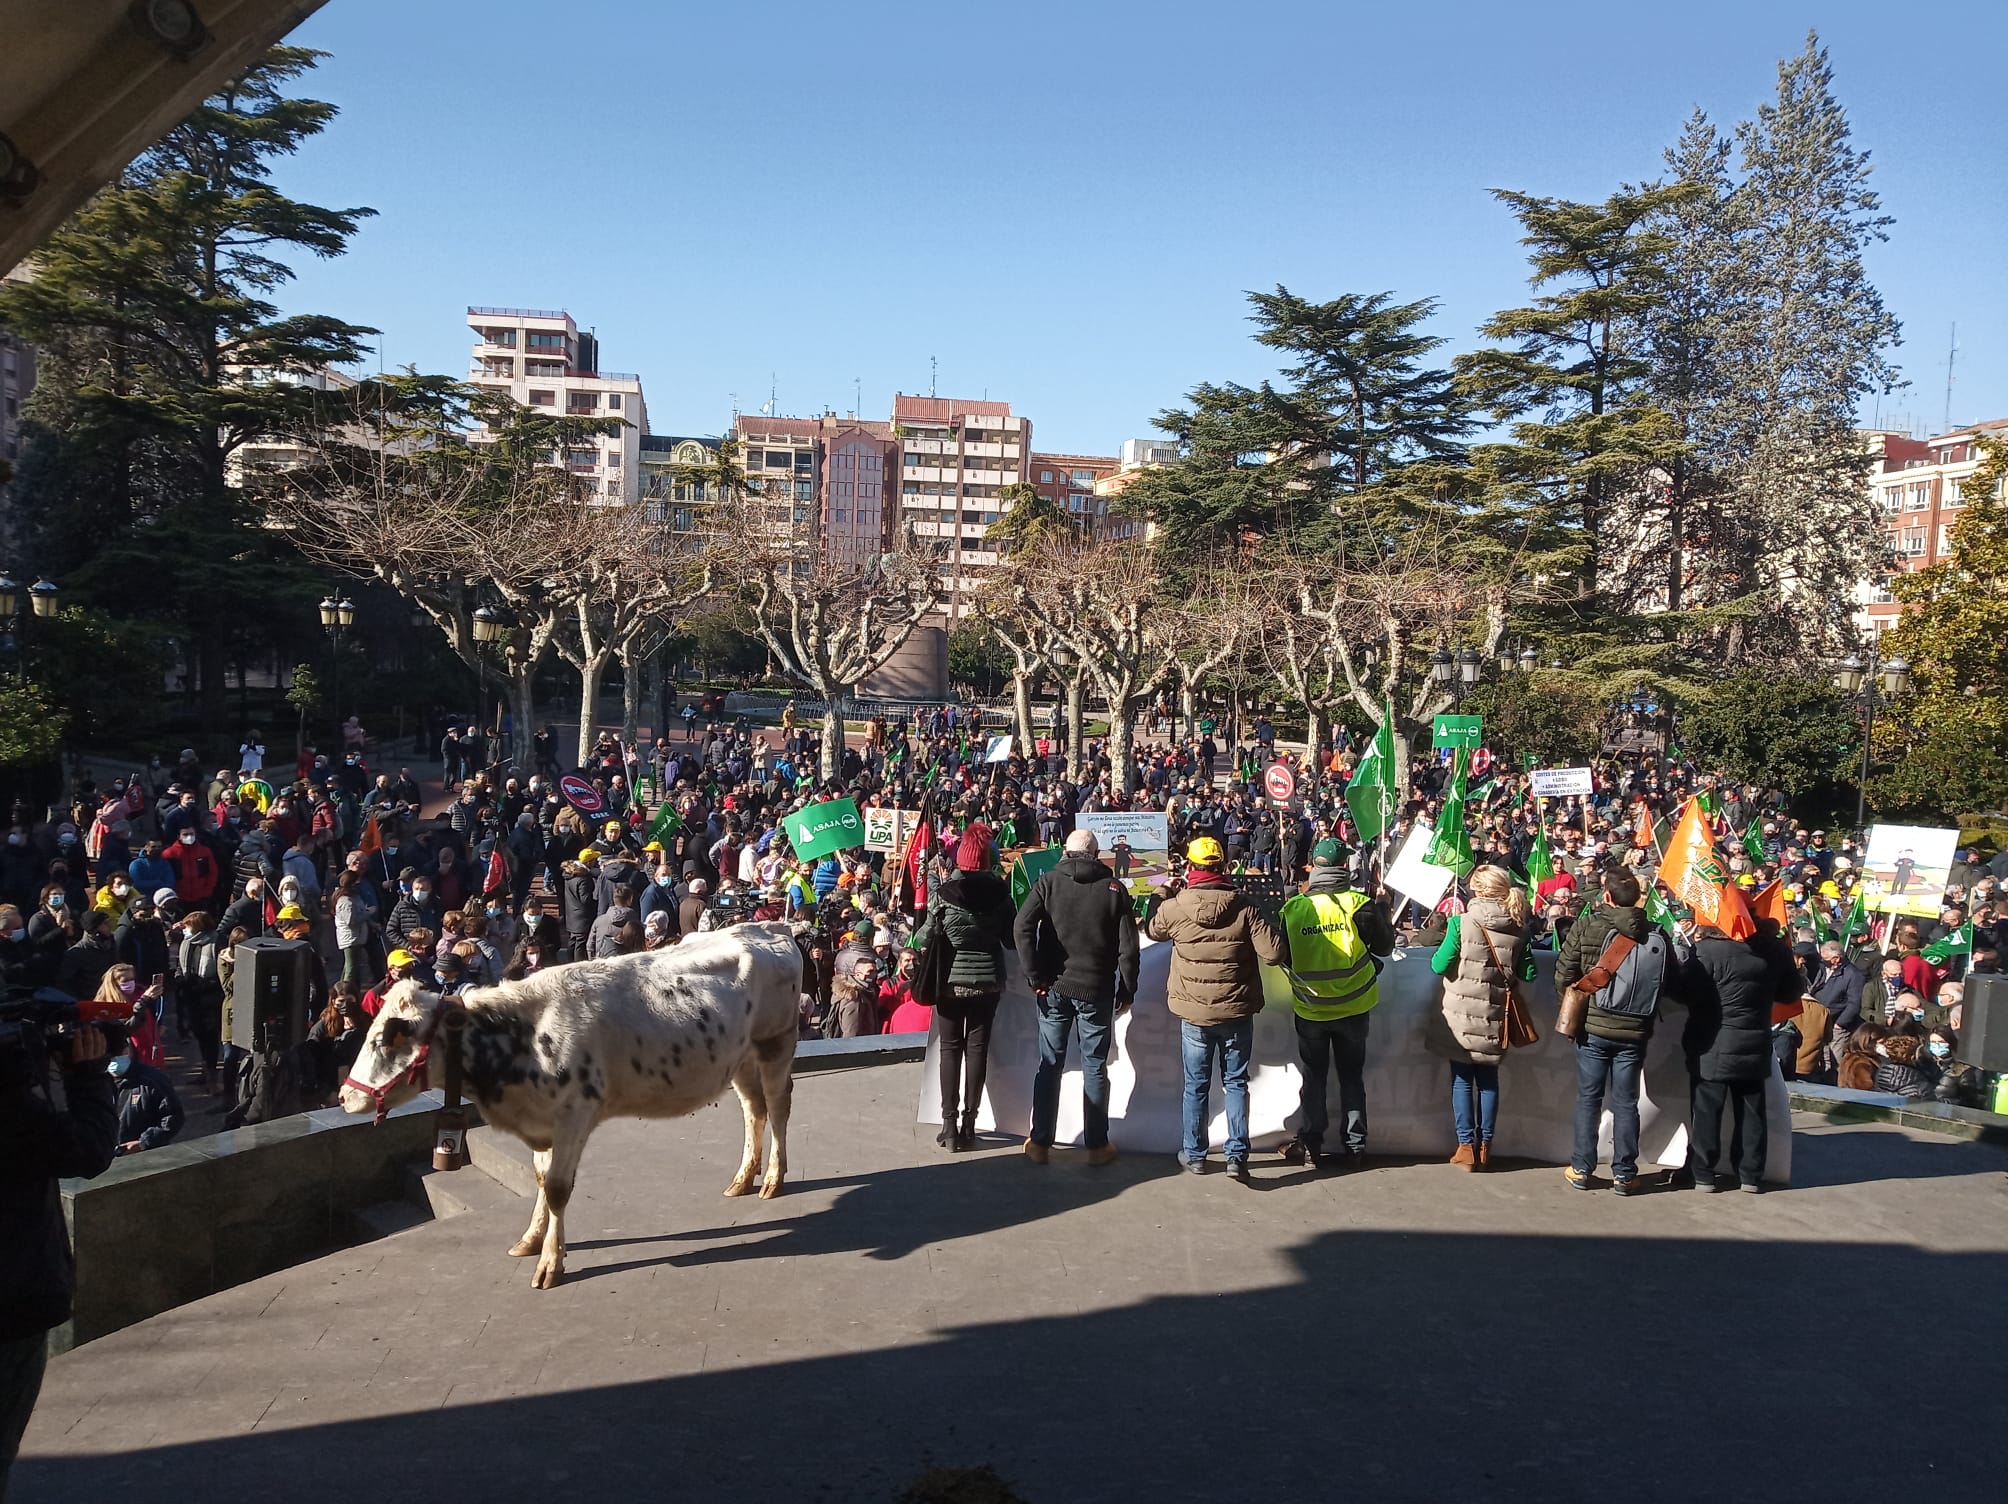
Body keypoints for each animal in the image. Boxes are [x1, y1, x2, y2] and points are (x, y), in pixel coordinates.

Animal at [341, 919, 803, 1285]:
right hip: (739, 1056)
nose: (346, 1096)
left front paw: (550, 1263)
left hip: (776, 1042)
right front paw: (530, 1239)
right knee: (753, 1109)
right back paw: (743, 1178)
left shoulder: (574, 1116)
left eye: (387, 1038)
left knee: (778, 1105)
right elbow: (541, 1180)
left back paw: (773, 1179)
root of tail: (769, 927)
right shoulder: (543, 1122)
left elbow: (559, 1189)